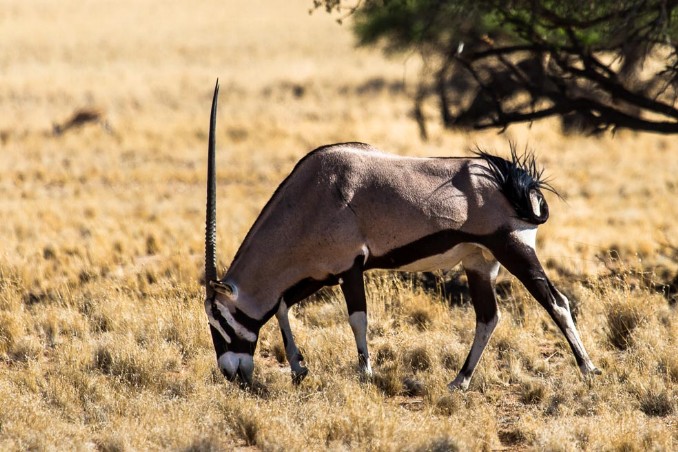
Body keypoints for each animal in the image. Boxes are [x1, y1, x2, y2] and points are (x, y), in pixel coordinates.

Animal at [203, 80, 600, 388]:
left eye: (218, 318)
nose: (231, 374)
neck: (312, 195)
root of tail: (515, 180)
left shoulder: (349, 268)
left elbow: (357, 318)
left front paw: (365, 373)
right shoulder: (322, 272)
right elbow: (283, 305)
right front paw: (299, 367)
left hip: (514, 250)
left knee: (556, 302)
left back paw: (588, 369)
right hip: (479, 262)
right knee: (488, 317)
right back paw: (460, 381)